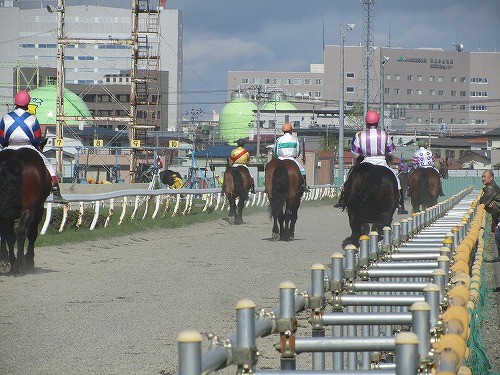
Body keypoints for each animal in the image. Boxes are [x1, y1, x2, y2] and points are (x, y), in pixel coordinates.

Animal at [0, 144, 51, 276]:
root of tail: (14, 158)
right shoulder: (38, 209)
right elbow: (31, 234)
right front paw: (28, 260)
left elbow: (9, 236)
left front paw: (9, 261)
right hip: (29, 210)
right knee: (22, 232)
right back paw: (19, 266)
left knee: (10, 234)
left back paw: (7, 262)